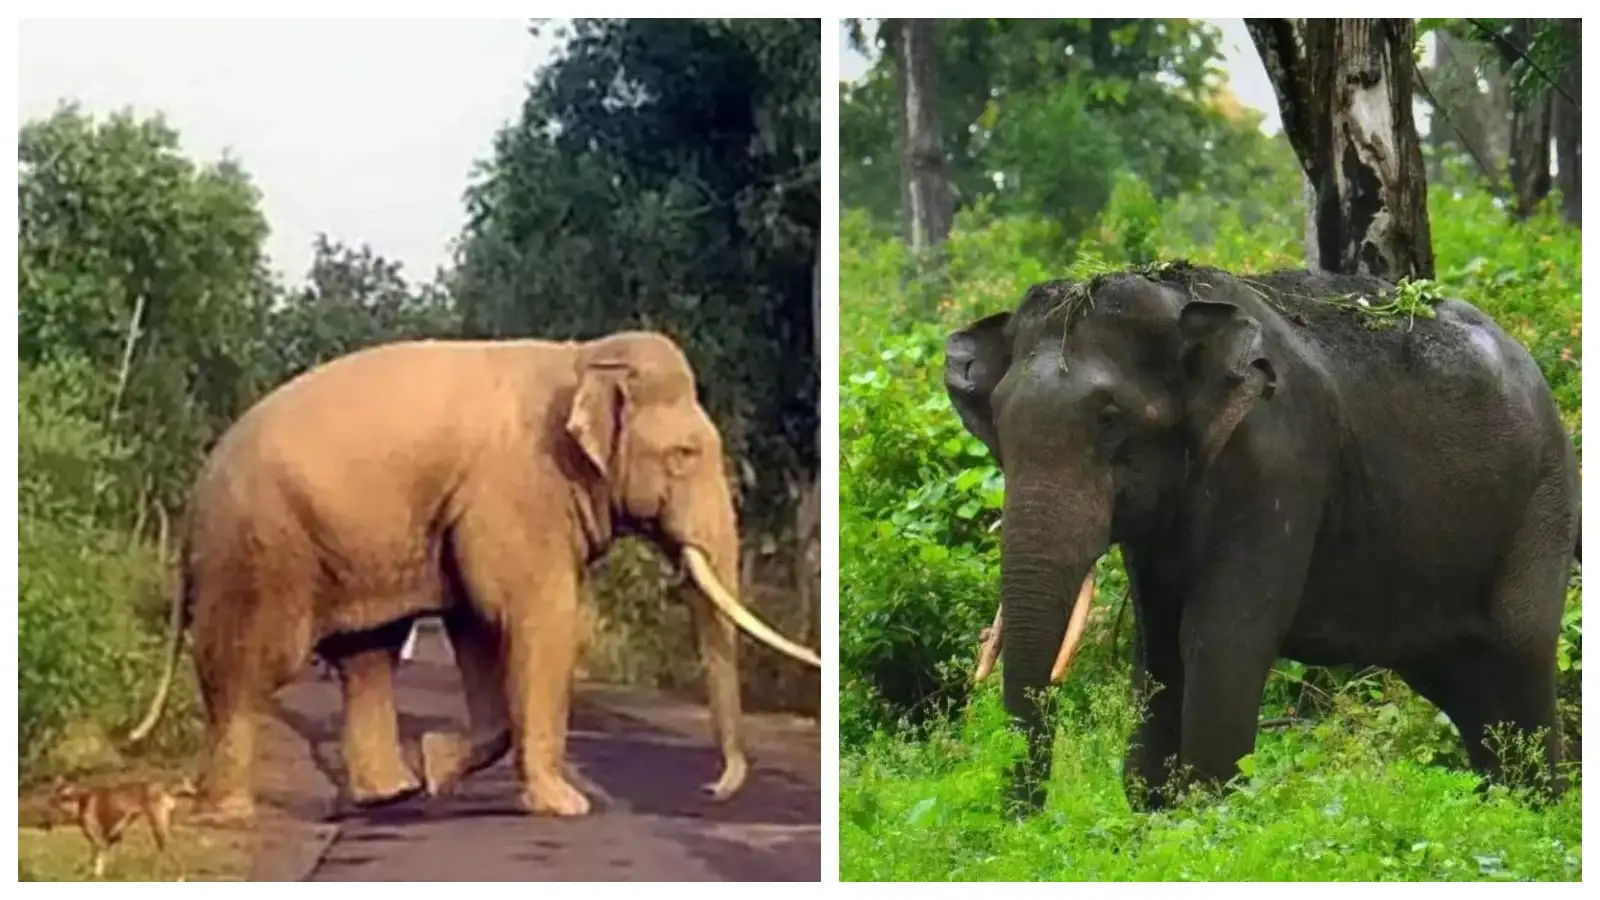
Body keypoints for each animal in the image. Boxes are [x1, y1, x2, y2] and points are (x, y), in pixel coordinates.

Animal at [128, 331, 822, 822]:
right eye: (684, 454)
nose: (711, 789)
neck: (583, 359)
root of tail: (193, 498)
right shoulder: (519, 489)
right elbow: (534, 615)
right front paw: (566, 807)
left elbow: (478, 625)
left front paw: (437, 767)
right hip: (260, 551)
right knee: (250, 666)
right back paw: (229, 812)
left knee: (367, 655)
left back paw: (392, 795)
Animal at [942, 263, 1579, 813]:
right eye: (997, 421)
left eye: (1109, 418)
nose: (1023, 819)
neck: (1177, 303)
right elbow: (1159, 644)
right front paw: (1153, 815)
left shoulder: (1276, 463)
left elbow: (1221, 636)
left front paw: (1203, 816)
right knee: (1468, 690)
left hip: (1541, 507)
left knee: (1518, 662)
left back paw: (1533, 813)